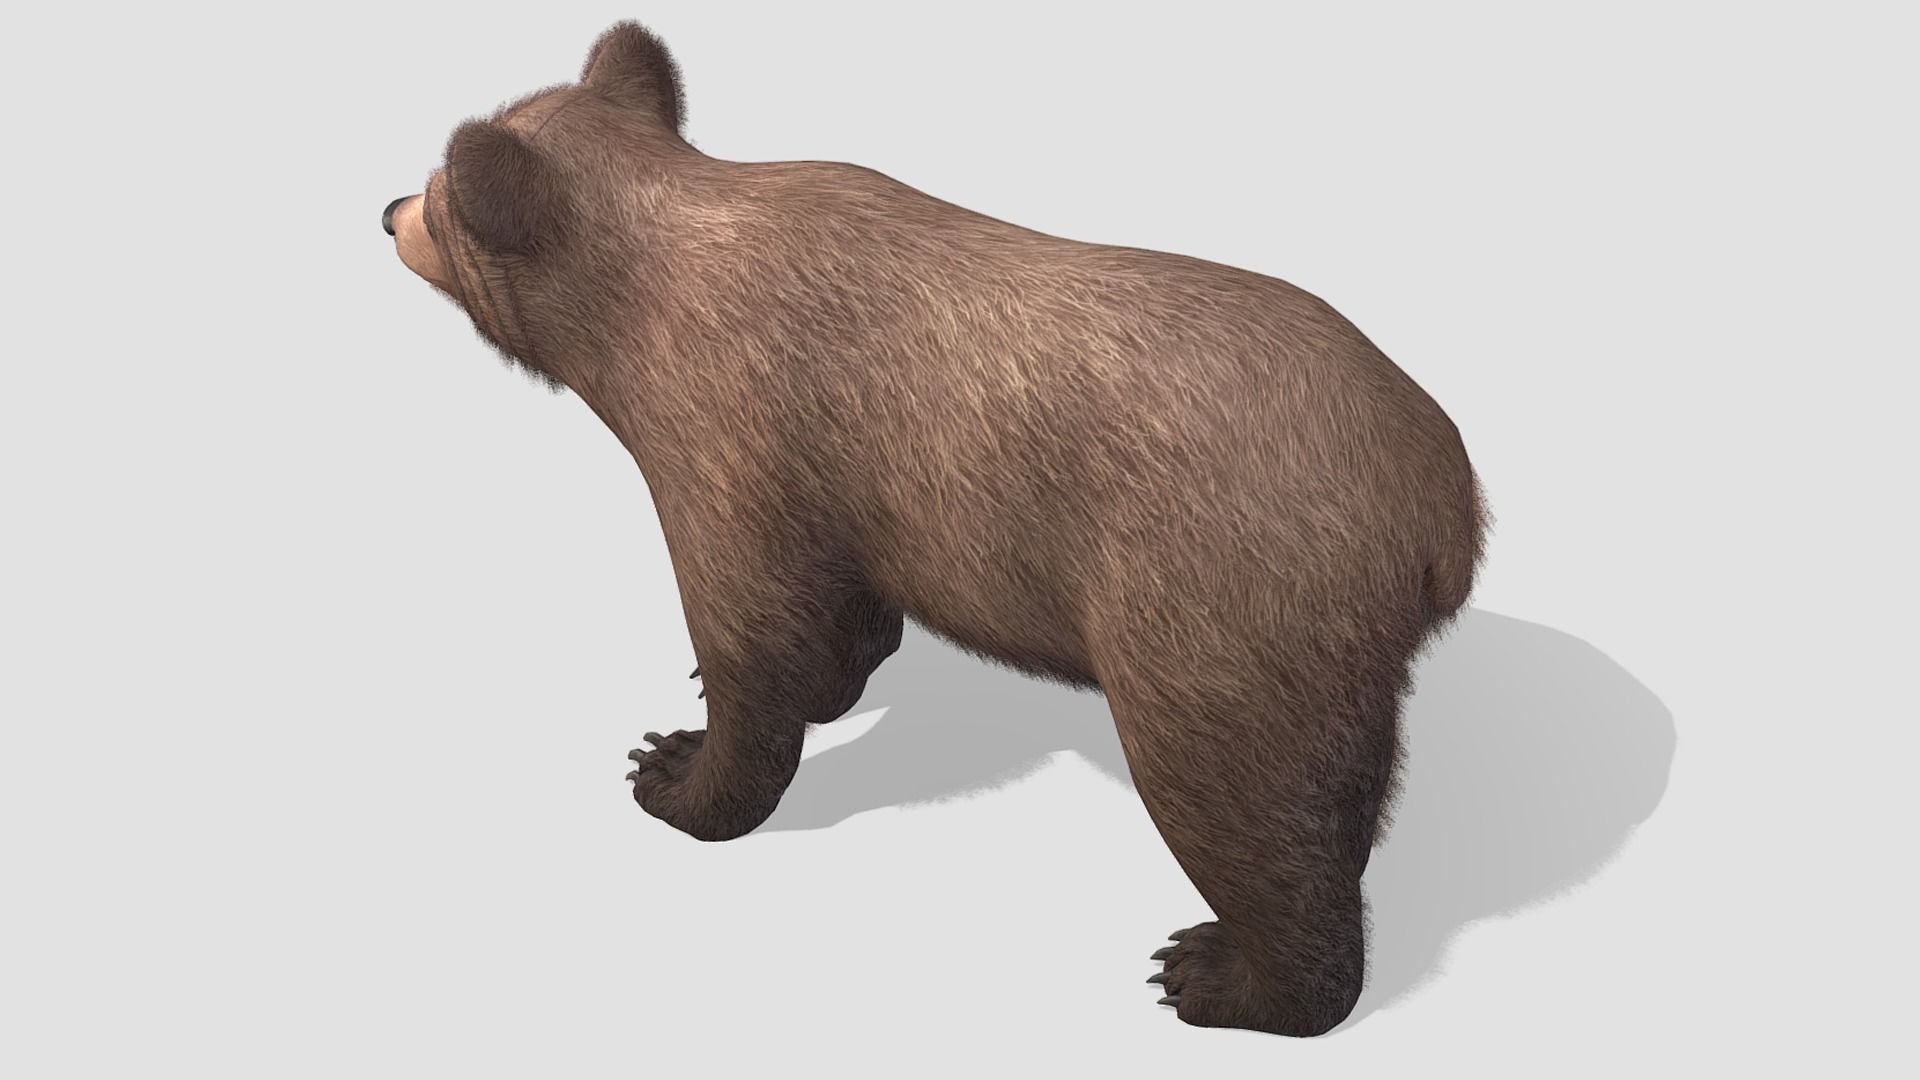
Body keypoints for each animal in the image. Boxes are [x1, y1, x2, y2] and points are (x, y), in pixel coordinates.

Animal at [383, 21, 1488, 1037]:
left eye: (438, 196)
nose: (387, 211)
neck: (641, 298)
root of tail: (1442, 507)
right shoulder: (842, 482)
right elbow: (833, 611)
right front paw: (805, 687)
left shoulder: (727, 430)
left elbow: (747, 627)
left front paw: (676, 767)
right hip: (1330, 645)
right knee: (1342, 777)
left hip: (1215, 595)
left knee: (1230, 792)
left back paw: (1225, 975)